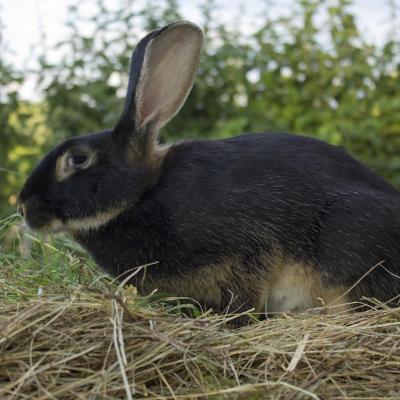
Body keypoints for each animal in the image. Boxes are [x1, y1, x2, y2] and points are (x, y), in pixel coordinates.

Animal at [18, 22, 400, 322]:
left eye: (78, 159)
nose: (22, 207)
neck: (143, 193)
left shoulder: (248, 250)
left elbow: (246, 293)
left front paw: (235, 322)